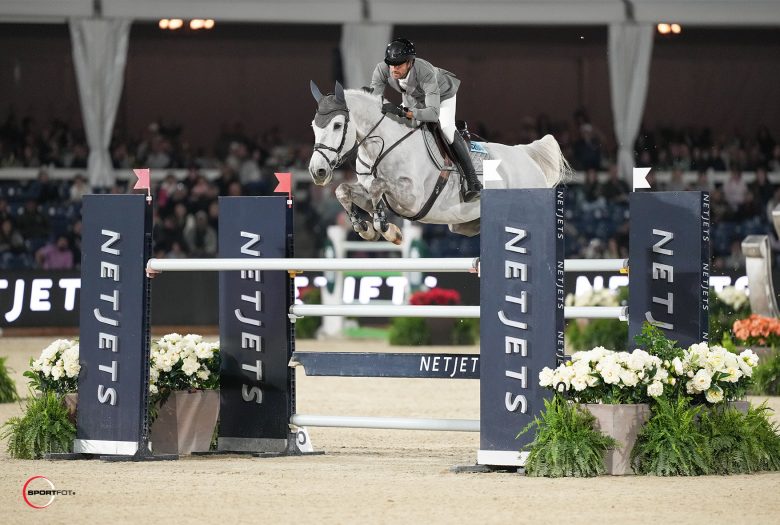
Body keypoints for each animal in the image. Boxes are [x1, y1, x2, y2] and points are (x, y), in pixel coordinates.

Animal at [308, 81, 568, 245]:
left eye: (337, 125)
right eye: (313, 126)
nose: (317, 171)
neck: (381, 147)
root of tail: (526, 156)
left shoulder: (412, 199)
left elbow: (377, 186)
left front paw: (385, 227)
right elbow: (344, 190)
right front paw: (366, 228)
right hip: (464, 224)